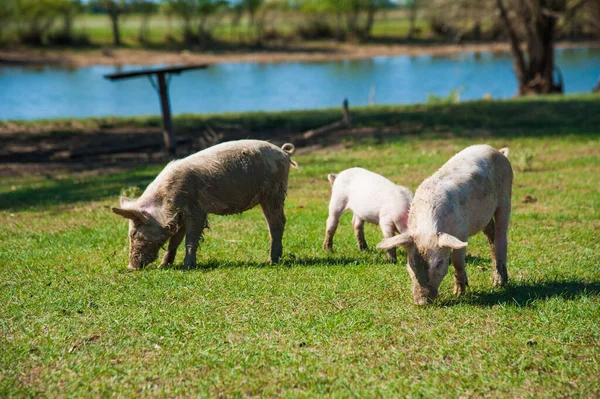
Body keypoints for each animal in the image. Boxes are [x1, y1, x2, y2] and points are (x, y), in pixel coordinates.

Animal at [110, 141, 298, 272]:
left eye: (134, 233)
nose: (130, 267)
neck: (165, 202)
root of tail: (283, 152)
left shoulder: (196, 211)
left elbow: (190, 239)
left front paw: (187, 267)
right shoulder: (180, 216)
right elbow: (174, 241)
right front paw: (163, 266)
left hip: (273, 192)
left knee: (277, 223)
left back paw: (271, 261)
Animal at [376, 145, 510, 304]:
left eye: (439, 263)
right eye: (411, 263)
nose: (422, 302)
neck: (427, 228)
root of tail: (497, 151)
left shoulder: (462, 233)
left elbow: (457, 261)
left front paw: (458, 294)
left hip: (506, 197)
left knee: (501, 237)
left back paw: (499, 284)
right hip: (486, 216)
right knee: (491, 235)